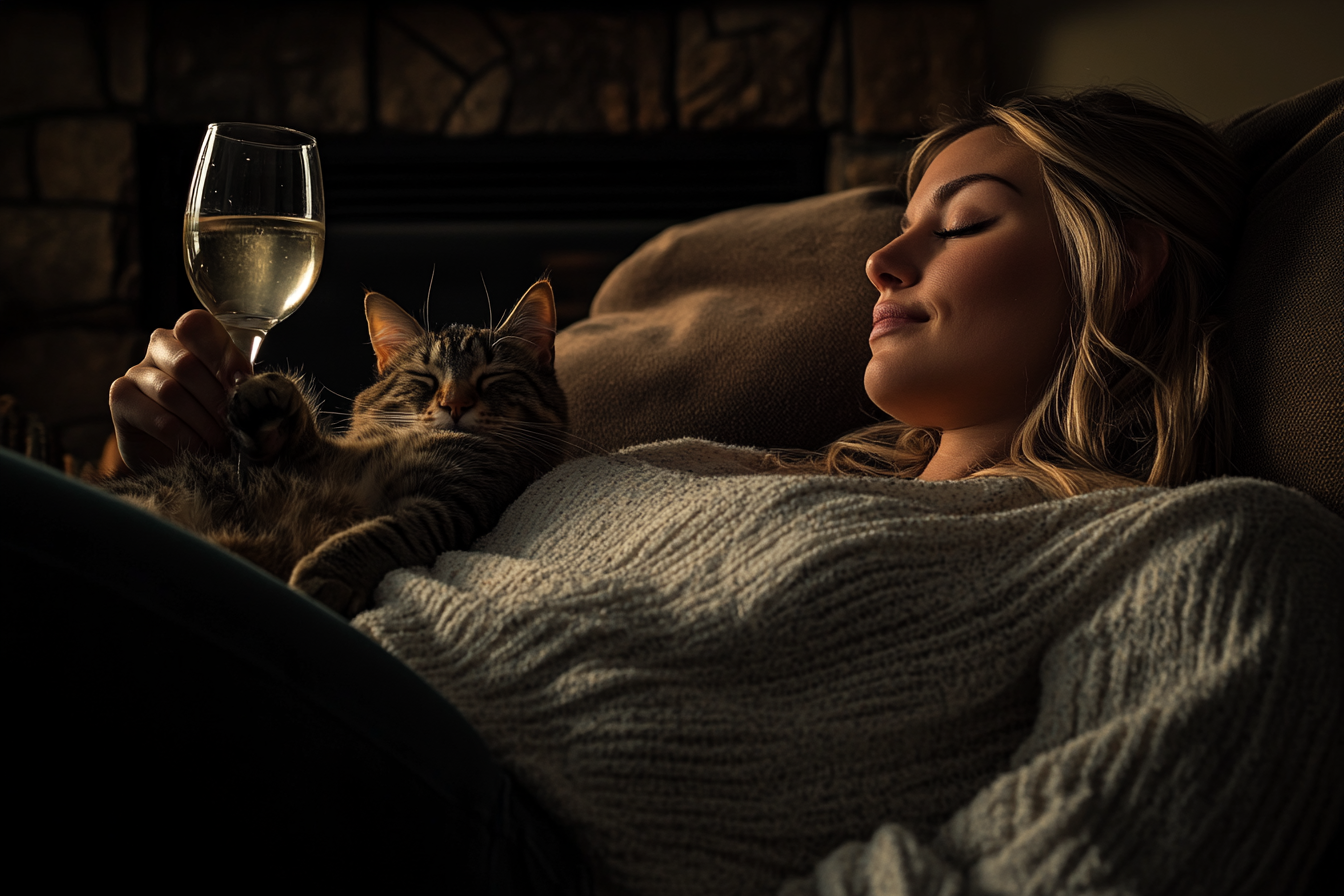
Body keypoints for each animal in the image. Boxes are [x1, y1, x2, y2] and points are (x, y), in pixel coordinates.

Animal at [104, 278, 567, 617]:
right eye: (425, 379)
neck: (409, 439)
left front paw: (325, 574)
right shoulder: (318, 458)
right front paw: (266, 396)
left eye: (491, 377)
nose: (454, 405)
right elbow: (300, 438)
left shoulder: (450, 503)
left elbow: (379, 533)